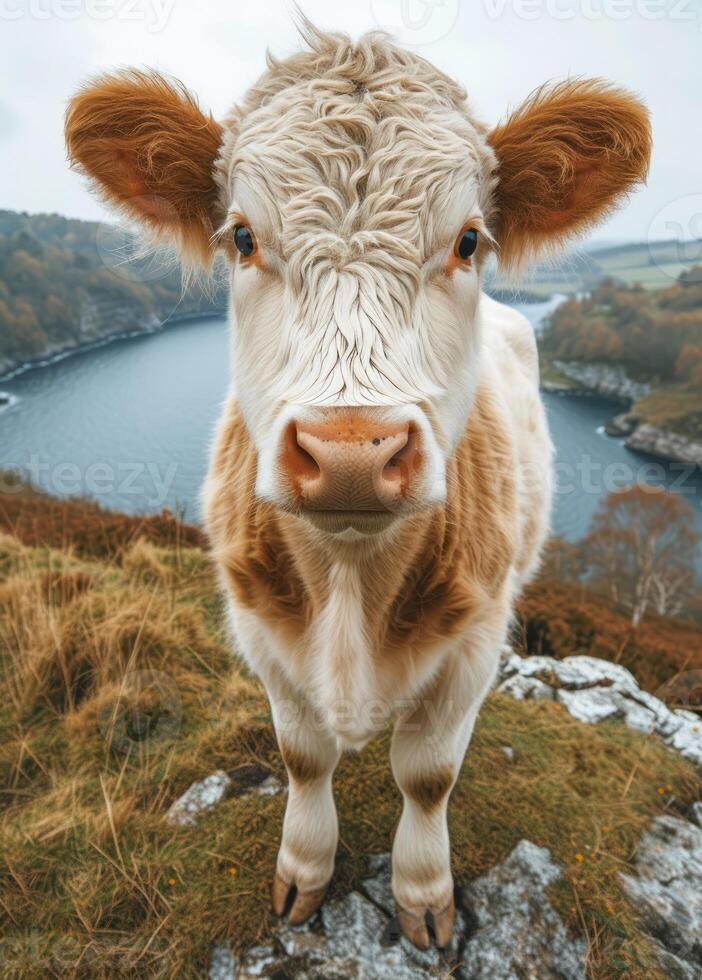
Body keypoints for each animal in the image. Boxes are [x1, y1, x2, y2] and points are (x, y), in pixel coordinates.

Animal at [69, 24, 652, 948]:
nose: (349, 452)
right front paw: (303, 872)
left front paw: (424, 894)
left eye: (468, 240)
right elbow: (303, 757)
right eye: (242, 237)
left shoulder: (473, 645)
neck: (349, 580)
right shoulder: (261, 634)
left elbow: (428, 775)